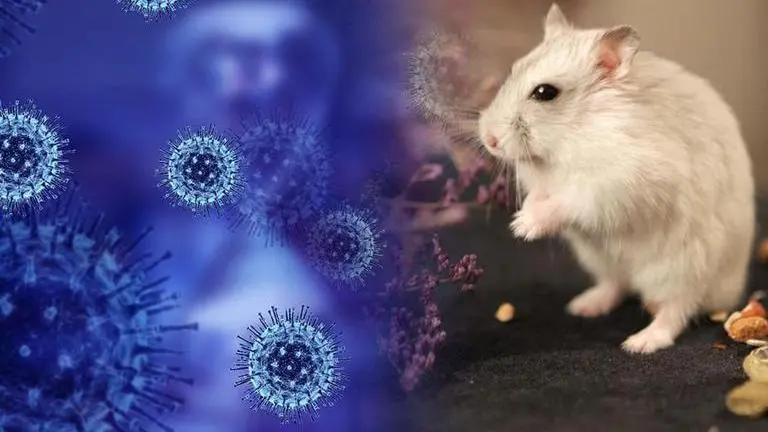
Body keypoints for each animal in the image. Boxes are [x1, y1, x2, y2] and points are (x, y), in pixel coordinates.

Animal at [478, 3, 755, 354]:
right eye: (512, 70)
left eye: (545, 93)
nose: (488, 139)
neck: (570, 135)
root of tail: (729, 293)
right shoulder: (544, 184)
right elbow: (539, 196)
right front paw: (521, 218)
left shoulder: (619, 183)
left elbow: (569, 201)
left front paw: (522, 228)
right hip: (601, 261)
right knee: (616, 285)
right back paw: (582, 306)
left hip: (682, 270)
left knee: (675, 311)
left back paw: (639, 343)